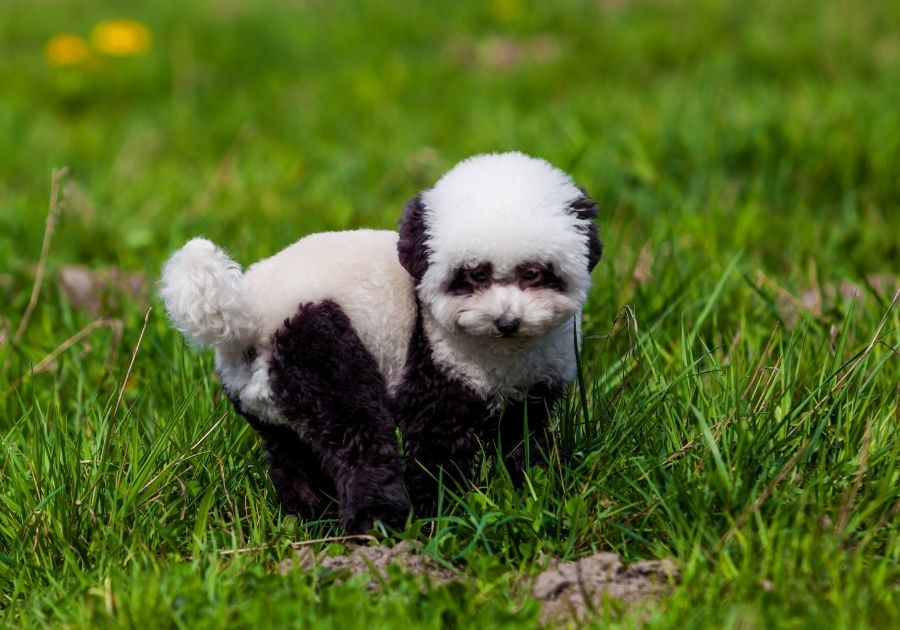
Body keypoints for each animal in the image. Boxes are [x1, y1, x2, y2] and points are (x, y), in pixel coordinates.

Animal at [158, 152, 600, 532]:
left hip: (265, 395)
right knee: (358, 437)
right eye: (474, 274)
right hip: (318, 350)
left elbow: (524, 436)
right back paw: (378, 524)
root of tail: (249, 316)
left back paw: (312, 517)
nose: (507, 321)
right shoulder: (436, 366)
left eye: (534, 272)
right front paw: (442, 513)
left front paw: (542, 487)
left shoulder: (533, 384)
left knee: (290, 452)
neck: (504, 351)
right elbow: (437, 443)